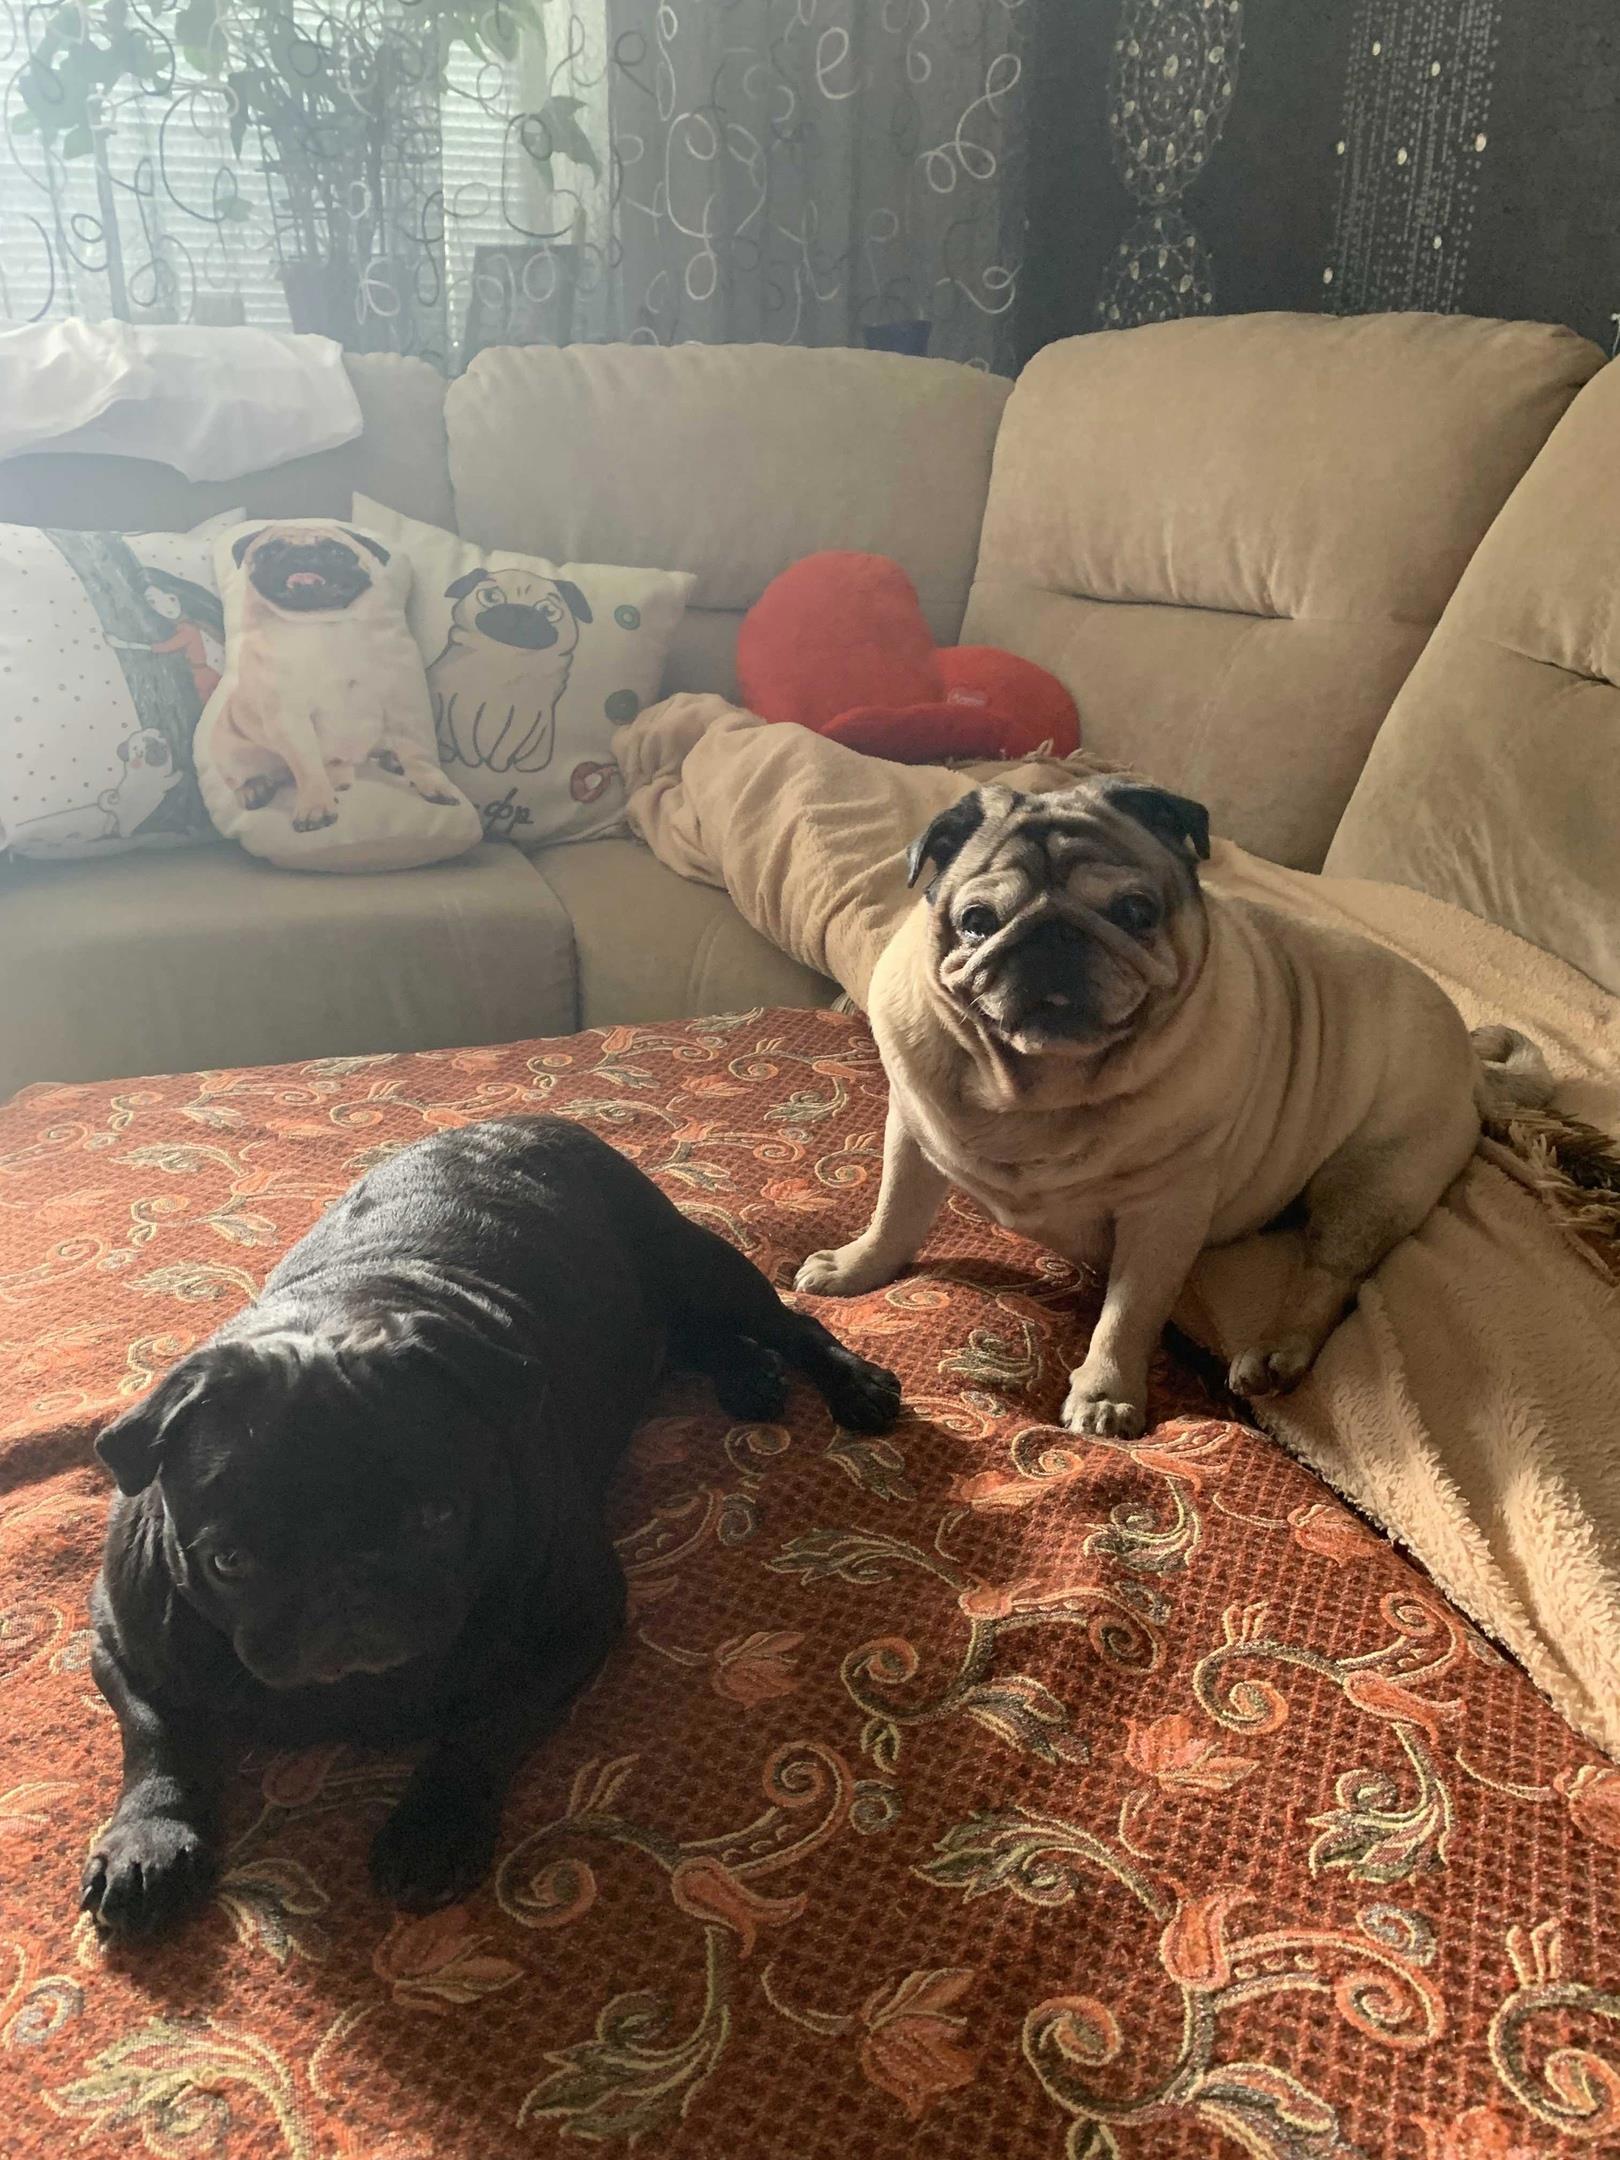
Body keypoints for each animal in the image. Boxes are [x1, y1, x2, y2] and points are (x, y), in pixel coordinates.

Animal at [82, 1117, 901, 1940]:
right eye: (229, 1561)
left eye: (438, 1518)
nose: (345, 1590)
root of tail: (532, 1122)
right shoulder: (123, 1648)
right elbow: (157, 1741)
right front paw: (146, 1844)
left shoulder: (571, 1624)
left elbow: (487, 1720)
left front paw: (431, 1829)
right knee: (692, 1341)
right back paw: (749, 1377)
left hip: (700, 1265)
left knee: (788, 1324)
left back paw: (852, 1383)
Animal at [211, 524, 459, 832]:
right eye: (270, 551)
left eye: (337, 552)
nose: (302, 554)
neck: (323, 626)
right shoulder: (289, 719)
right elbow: (307, 766)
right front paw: (315, 806)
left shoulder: (402, 701)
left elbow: (417, 751)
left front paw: (433, 783)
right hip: (231, 749)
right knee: (247, 777)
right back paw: (257, 788)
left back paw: (388, 760)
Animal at [430, 566, 592, 776]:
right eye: (491, 597)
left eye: (548, 611)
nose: (520, 611)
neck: (508, 658)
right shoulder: (459, 706)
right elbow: (466, 742)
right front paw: (473, 761)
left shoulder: (525, 717)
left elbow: (505, 747)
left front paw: (497, 765)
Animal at [796, 777, 1549, 1439]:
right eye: (976, 923)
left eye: (1135, 911)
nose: (1052, 933)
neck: (1042, 1089)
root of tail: (1469, 1058)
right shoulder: (913, 1133)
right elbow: (894, 1214)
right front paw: (858, 1269)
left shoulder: (1164, 1211)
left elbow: (1128, 1312)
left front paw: (1105, 1395)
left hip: (1369, 1183)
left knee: (1328, 1276)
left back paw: (1276, 1352)